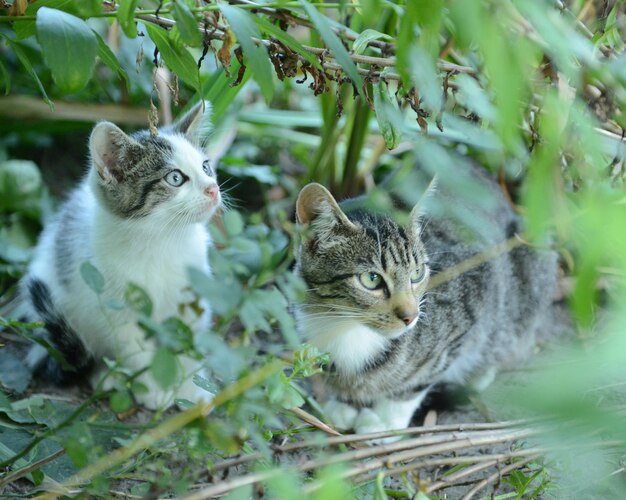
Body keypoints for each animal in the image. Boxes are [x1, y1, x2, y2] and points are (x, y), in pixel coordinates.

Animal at [20, 100, 219, 410]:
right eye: (175, 178)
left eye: (206, 167)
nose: (213, 188)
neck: (163, 241)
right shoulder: (116, 307)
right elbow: (135, 348)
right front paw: (153, 388)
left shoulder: (192, 297)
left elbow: (188, 341)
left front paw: (191, 386)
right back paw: (108, 376)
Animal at [292, 169, 556, 438]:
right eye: (371, 279)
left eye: (417, 273)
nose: (411, 316)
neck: (346, 326)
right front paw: (345, 404)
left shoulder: (474, 299)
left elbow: (417, 381)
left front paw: (385, 420)